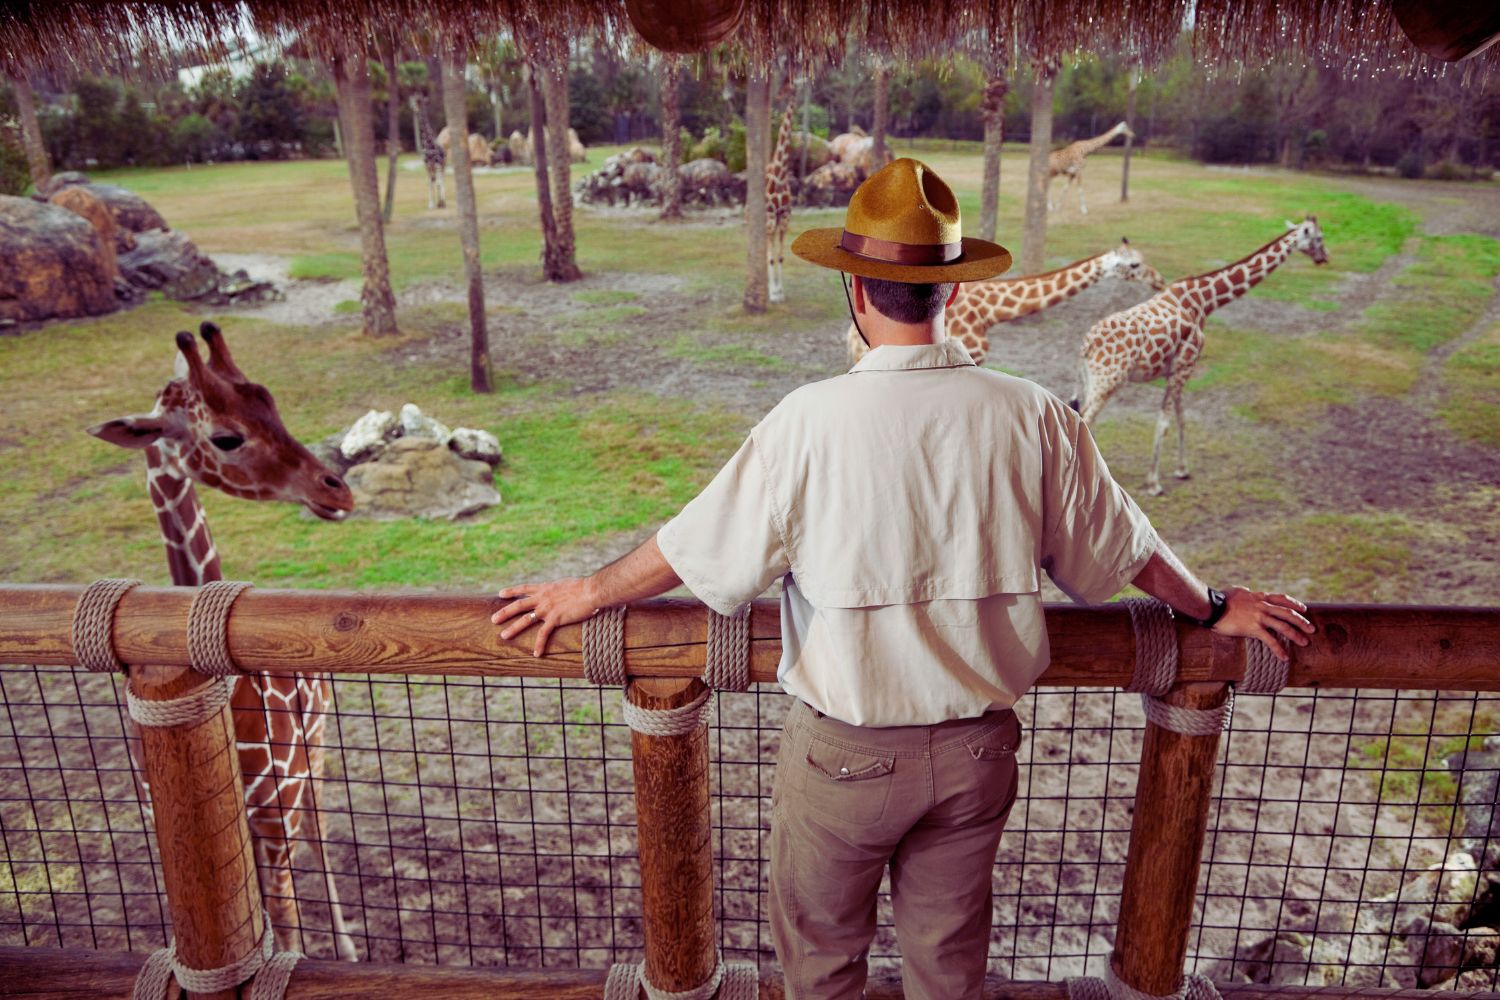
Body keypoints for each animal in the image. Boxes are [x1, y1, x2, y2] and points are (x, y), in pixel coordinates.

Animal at [90, 320, 357, 959]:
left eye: (273, 404)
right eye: (227, 437)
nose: (337, 491)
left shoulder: (276, 813)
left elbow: (284, 921)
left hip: (315, 753)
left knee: (320, 830)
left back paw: (347, 945)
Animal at [1074, 221, 1332, 497]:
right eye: (1319, 238)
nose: (1324, 257)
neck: (1204, 301)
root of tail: (1085, 345)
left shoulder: (1177, 370)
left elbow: (1181, 417)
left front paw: (1182, 469)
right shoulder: (1185, 365)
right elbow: (1165, 422)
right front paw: (1154, 483)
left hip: (1093, 381)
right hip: (1108, 381)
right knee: (1086, 419)